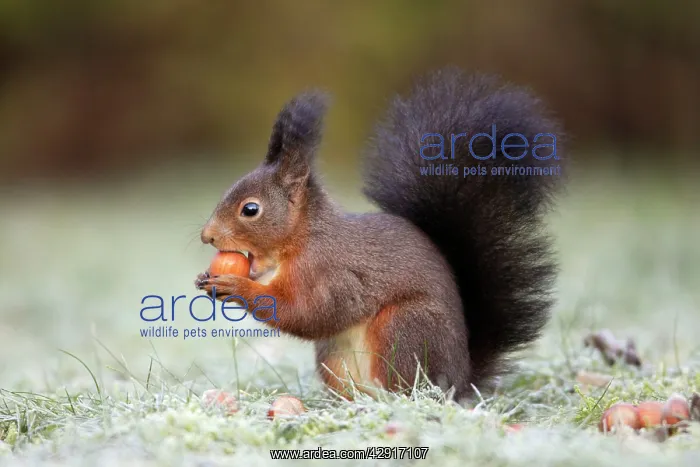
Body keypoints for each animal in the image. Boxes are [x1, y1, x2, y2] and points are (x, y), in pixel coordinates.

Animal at [195, 68, 562, 400]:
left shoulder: (334, 274)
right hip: (334, 357)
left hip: (404, 329)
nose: (207, 236)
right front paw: (205, 279)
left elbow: (309, 313)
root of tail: (461, 380)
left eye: (250, 209)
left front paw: (237, 287)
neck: (303, 241)